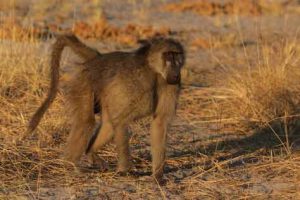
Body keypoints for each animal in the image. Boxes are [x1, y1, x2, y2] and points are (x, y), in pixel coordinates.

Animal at [28, 34, 185, 183]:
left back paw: (90, 153)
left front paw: (157, 176)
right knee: (86, 122)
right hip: (84, 82)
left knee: (108, 125)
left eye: (177, 55)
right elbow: (121, 120)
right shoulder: (135, 83)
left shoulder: (169, 85)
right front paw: (125, 170)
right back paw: (69, 166)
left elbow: (160, 123)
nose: (175, 73)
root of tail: (98, 58)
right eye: (168, 55)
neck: (153, 70)